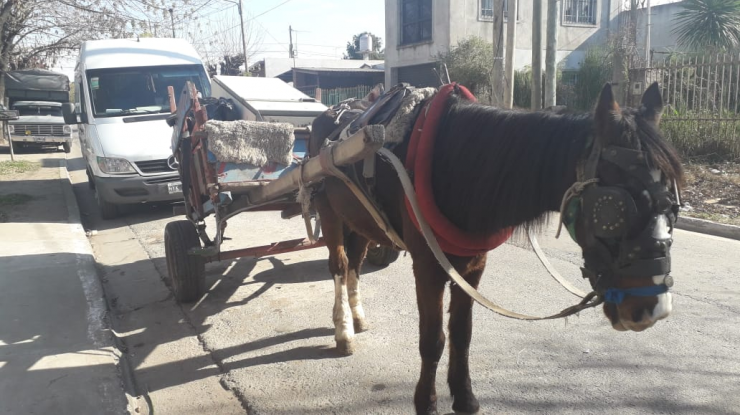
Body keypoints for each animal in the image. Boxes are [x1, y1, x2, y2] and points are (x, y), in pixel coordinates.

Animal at [306, 82, 684, 415]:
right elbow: (432, 339)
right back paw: (344, 330)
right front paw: (426, 403)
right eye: (613, 208)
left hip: (360, 220)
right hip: (328, 210)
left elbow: (462, 334)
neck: (454, 164)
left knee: (355, 265)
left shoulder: (473, 266)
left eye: (674, 204)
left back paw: (357, 316)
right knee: (340, 266)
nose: (653, 310)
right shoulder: (427, 267)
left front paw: (464, 397)